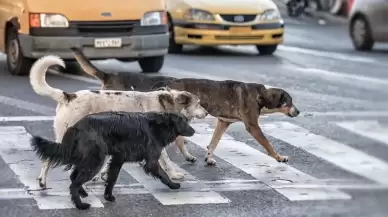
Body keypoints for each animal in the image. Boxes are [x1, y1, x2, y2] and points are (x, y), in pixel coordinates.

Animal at [29, 55, 209, 188]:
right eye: (198, 103)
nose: (207, 113)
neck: (167, 104)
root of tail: (68, 96)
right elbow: (167, 161)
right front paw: (174, 174)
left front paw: (102, 175)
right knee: (49, 157)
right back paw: (44, 181)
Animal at [30, 111, 196, 209]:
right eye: (184, 121)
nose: (194, 131)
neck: (159, 125)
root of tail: (76, 125)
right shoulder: (151, 161)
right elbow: (163, 174)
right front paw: (173, 185)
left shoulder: (118, 159)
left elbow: (112, 179)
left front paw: (108, 196)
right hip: (95, 161)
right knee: (74, 183)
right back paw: (80, 205)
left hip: (88, 158)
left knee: (73, 176)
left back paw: (83, 193)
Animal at [69, 47, 300, 165]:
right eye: (289, 102)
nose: (298, 111)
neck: (262, 95)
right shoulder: (252, 126)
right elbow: (267, 143)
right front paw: (279, 157)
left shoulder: (223, 122)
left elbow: (214, 142)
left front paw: (209, 157)